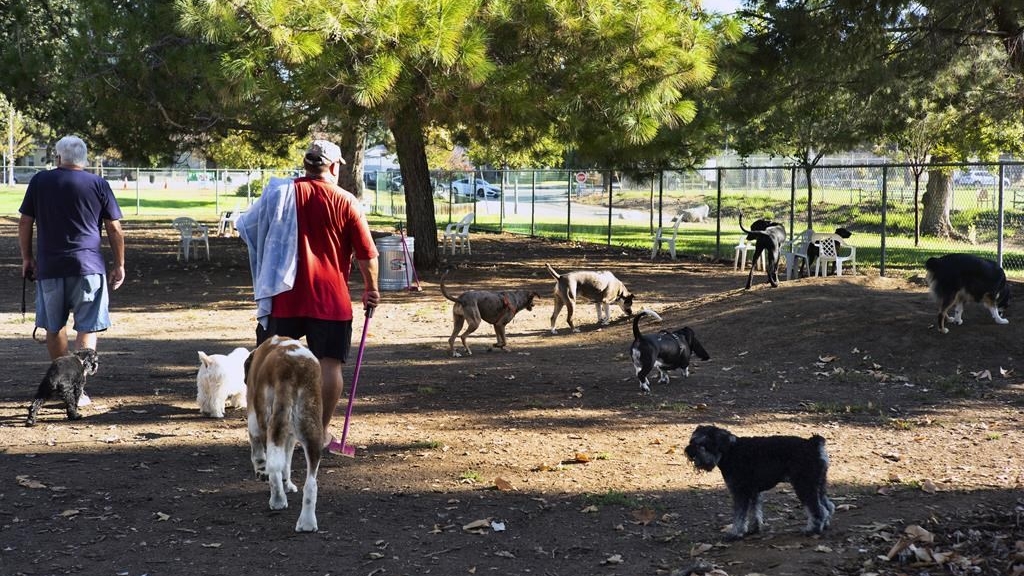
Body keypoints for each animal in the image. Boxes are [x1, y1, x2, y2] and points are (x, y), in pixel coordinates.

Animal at [244, 336, 321, 528]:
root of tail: (292, 368)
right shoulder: (291, 437)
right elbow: (286, 462)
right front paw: (288, 485)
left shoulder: (253, 417)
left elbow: (258, 452)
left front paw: (260, 471)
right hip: (311, 429)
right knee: (310, 483)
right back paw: (307, 523)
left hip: (268, 422)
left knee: (273, 467)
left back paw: (277, 499)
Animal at [684, 422, 835, 537]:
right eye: (691, 441)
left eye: (702, 444)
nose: (688, 452)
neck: (729, 450)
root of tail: (814, 444)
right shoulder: (754, 492)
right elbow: (755, 512)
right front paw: (754, 528)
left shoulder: (740, 491)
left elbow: (739, 515)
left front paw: (735, 533)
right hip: (819, 484)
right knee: (828, 506)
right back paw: (825, 525)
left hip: (804, 485)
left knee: (818, 509)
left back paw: (812, 529)